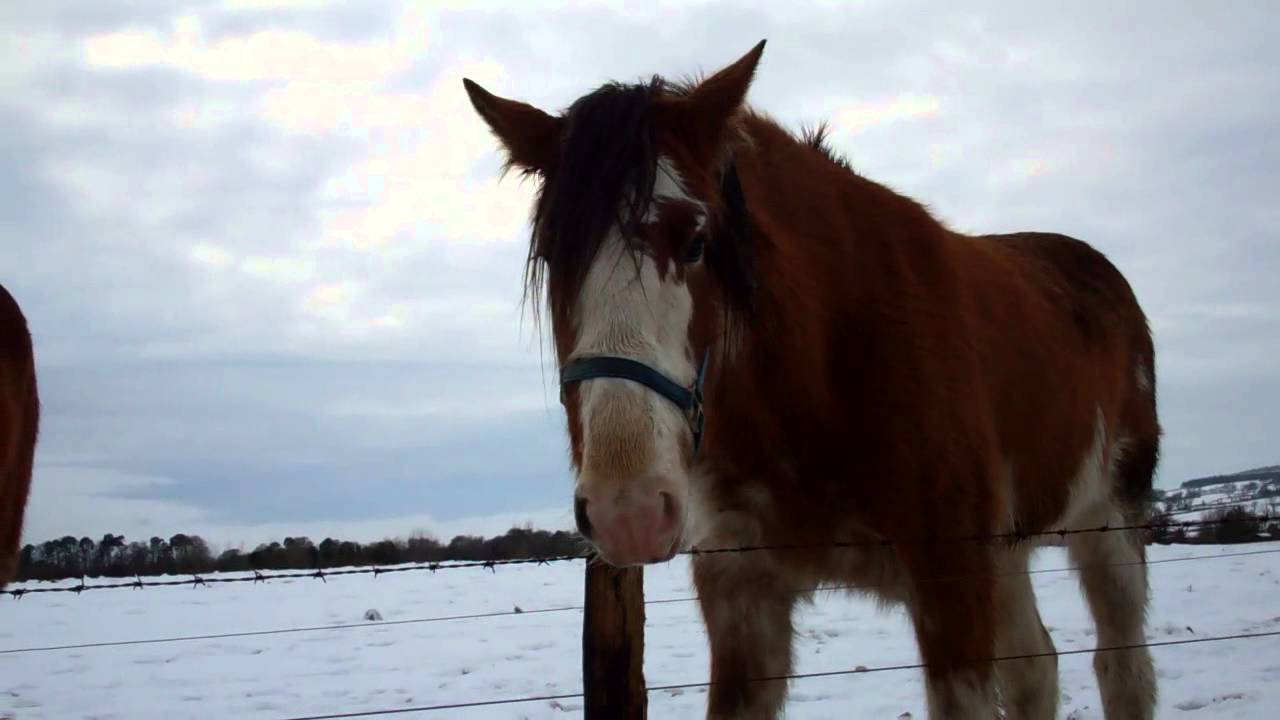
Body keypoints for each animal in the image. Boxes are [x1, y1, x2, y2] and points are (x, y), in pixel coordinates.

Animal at [464, 41, 1160, 719]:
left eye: (695, 242)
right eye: (552, 257)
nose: (627, 511)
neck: (820, 377)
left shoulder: (952, 581)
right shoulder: (741, 593)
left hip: (1109, 523)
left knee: (1122, 669)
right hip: (1008, 555)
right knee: (1035, 670)